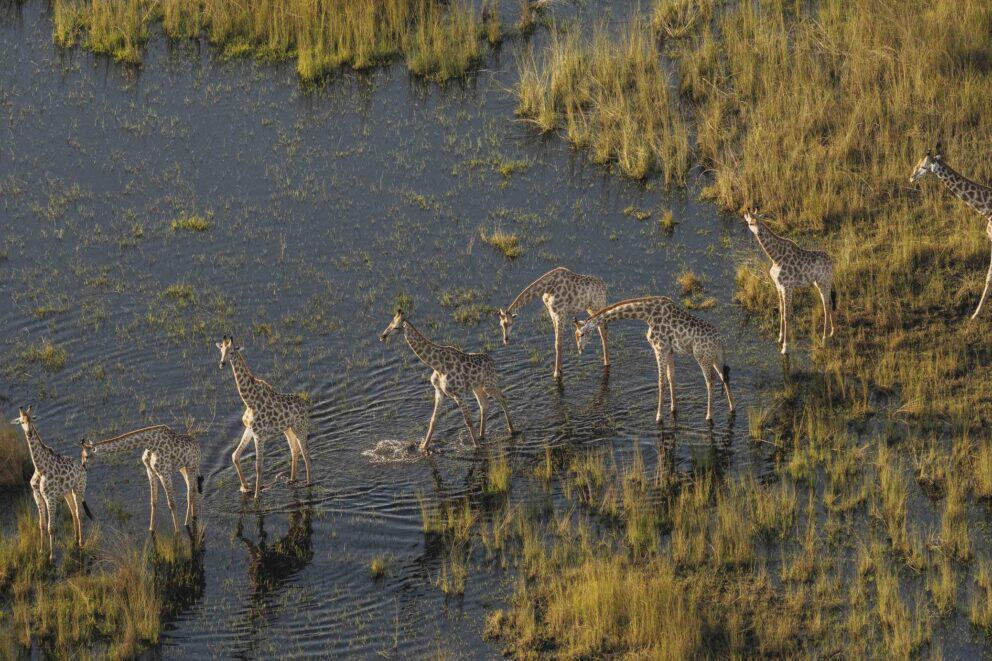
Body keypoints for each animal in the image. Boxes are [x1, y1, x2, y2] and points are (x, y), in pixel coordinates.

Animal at [10, 406, 92, 560]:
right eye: (22, 422)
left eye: (31, 420)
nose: (29, 433)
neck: (40, 468)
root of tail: (83, 467)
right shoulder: (37, 495)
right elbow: (41, 524)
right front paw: (42, 551)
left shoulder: (50, 497)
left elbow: (51, 528)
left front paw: (52, 556)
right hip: (67, 492)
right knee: (73, 511)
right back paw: (75, 538)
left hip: (79, 488)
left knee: (79, 513)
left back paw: (81, 542)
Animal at [217, 336, 313, 499]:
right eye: (221, 349)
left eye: (232, 351)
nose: (222, 363)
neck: (249, 400)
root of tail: (306, 405)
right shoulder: (250, 429)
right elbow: (235, 455)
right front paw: (245, 488)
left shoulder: (260, 435)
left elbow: (258, 466)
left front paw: (256, 496)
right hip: (288, 428)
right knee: (294, 449)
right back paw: (292, 480)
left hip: (300, 427)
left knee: (305, 452)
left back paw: (308, 483)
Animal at [380, 309, 514, 453]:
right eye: (389, 323)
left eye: (396, 327)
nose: (382, 336)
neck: (437, 365)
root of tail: (493, 361)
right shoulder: (439, 391)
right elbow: (433, 420)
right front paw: (424, 447)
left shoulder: (458, 394)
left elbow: (468, 421)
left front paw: (476, 446)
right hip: (477, 387)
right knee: (484, 404)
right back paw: (482, 435)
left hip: (489, 384)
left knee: (503, 398)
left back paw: (511, 430)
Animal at [573, 297, 734, 422]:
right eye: (576, 335)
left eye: (581, 334)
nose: (580, 350)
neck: (647, 315)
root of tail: (721, 341)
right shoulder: (669, 351)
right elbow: (671, 377)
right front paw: (673, 409)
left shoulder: (659, 349)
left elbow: (661, 382)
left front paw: (659, 416)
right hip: (716, 357)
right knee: (724, 376)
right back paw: (732, 408)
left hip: (702, 357)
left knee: (710, 381)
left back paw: (709, 415)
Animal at [744, 211, 836, 354]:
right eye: (750, 223)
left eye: (756, 222)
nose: (758, 232)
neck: (775, 257)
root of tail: (831, 262)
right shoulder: (779, 286)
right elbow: (781, 310)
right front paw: (780, 338)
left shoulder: (787, 287)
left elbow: (787, 315)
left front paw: (785, 347)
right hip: (823, 282)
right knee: (830, 303)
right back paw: (832, 332)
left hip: (823, 282)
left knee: (826, 306)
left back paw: (824, 339)